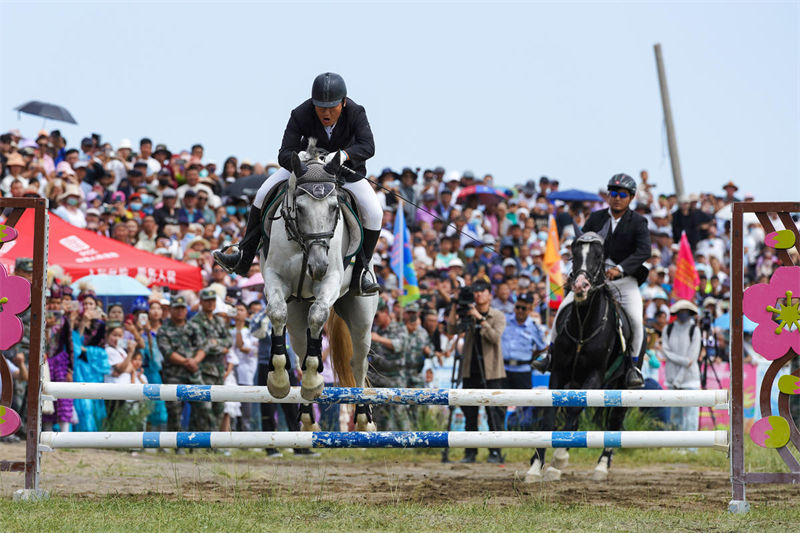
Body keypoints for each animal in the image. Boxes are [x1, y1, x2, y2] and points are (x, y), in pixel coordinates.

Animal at [260, 143, 378, 430]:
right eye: (300, 208)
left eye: (335, 208)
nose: (318, 266)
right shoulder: (274, 277)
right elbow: (277, 313)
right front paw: (278, 381)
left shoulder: (330, 280)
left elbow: (318, 314)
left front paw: (314, 382)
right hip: (296, 316)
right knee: (301, 349)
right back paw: (307, 417)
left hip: (361, 320)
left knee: (358, 363)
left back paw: (363, 419)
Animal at [524, 233, 644, 482]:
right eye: (574, 254)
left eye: (599, 256)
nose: (580, 286)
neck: (582, 327)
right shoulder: (558, 374)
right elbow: (550, 416)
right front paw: (536, 466)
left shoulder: (594, 377)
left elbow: (573, 412)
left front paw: (558, 460)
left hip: (620, 386)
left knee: (614, 421)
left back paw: (601, 467)